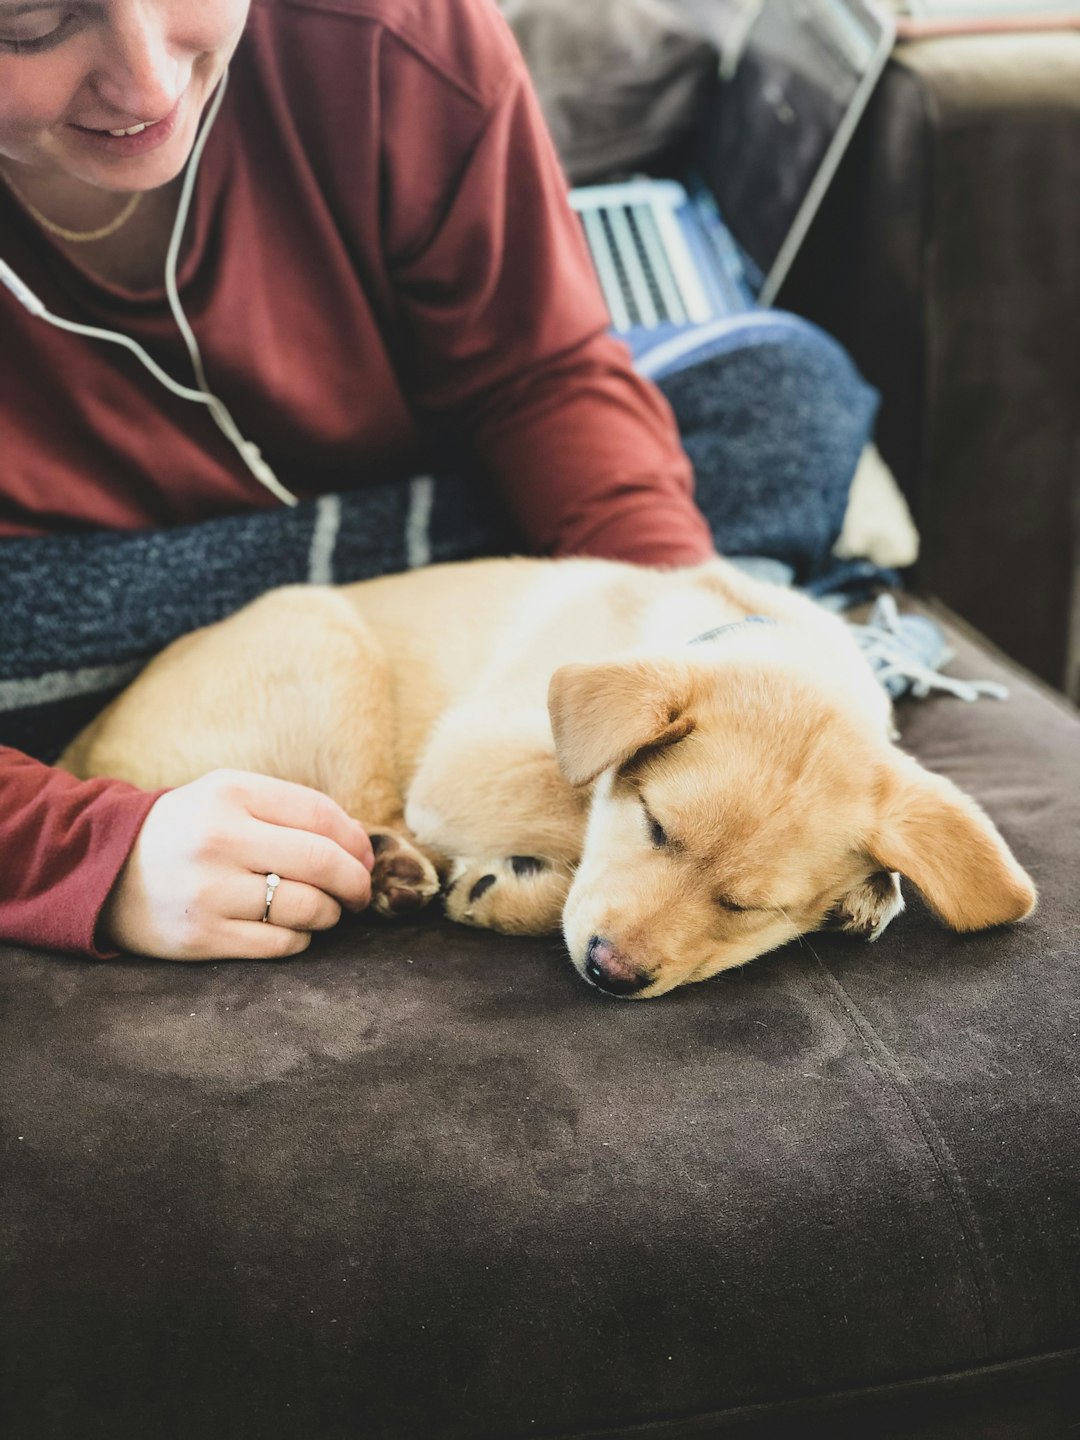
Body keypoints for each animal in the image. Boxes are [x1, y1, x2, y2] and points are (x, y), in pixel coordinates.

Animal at [61, 555, 1042, 996]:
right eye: (654, 825)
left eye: (748, 907)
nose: (611, 974)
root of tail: (86, 741)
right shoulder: (468, 757)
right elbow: (571, 803)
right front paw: (513, 886)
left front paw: (872, 893)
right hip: (325, 645)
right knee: (366, 814)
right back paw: (399, 868)